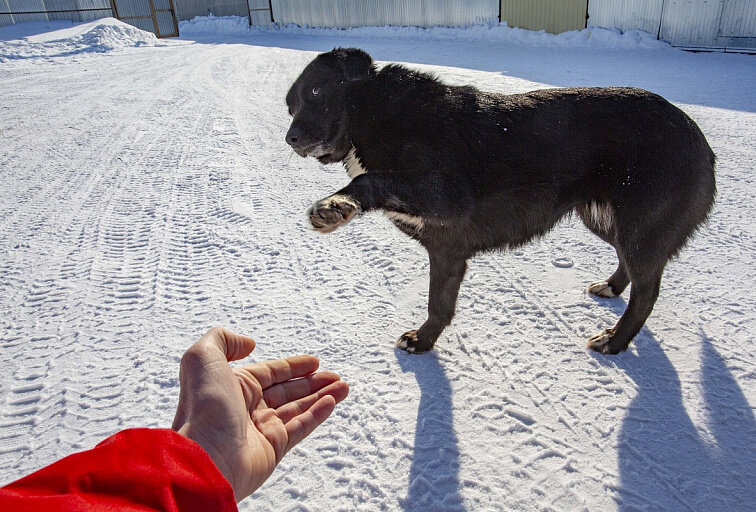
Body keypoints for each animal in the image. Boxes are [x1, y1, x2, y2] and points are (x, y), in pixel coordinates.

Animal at [286, 48, 716, 354]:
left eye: (317, 91)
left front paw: (335, 206)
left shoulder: (447, 197)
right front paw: (425, 342)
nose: (289, 139)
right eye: (290, 106)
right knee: (633, 269)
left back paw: (615, 340)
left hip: (637, 227)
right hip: (604, 219)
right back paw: (611, 289)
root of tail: (697, 136)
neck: (377, 113)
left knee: (648, 292)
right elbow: (439, 304)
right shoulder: (447, 248)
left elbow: (370, 178)